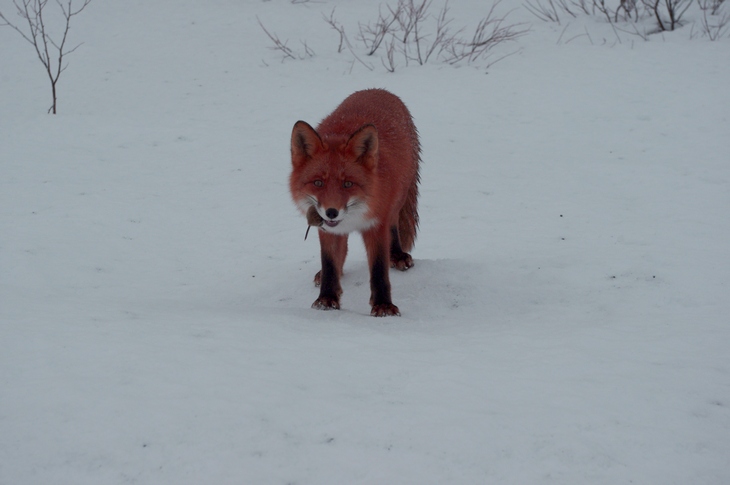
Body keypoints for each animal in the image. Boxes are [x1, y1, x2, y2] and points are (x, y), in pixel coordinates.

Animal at [288, 88, 418, 316]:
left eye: (347, 183)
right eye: (318, 182)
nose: (331, 212)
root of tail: (378, 89)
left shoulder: (377, 224)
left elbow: (378, 269)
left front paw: (383, 306)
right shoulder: (326, 229)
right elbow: (329, 263)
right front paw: (326, 299)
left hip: (397, 200)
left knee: (394, 226)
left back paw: (397, 254)